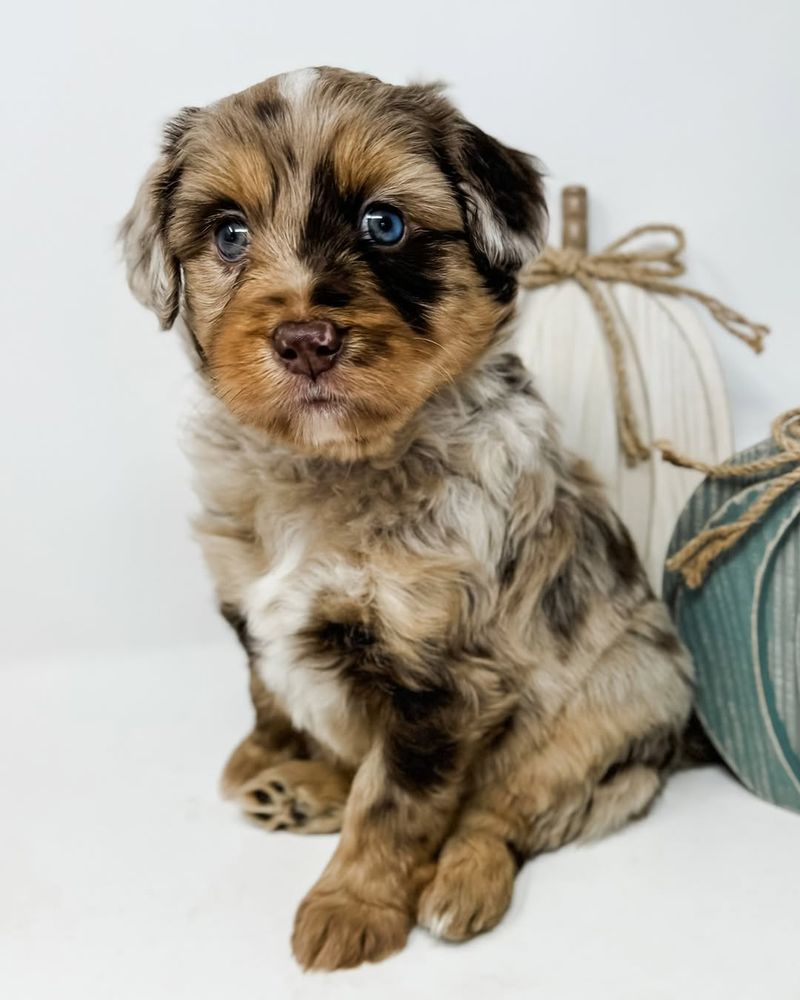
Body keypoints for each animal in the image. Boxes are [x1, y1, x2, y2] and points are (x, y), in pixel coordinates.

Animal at [120, 68, 692, 968]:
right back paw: (301, 789)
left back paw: (463, 884)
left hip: (612, 704)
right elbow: (273, 693)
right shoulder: (248, 596)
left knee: (507, 813)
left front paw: (351, 907)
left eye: (382, 224)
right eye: (230, 234)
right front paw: (271, 754)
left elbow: (395, 802)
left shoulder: (441, 677)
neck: (330, 466)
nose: (306, 339)